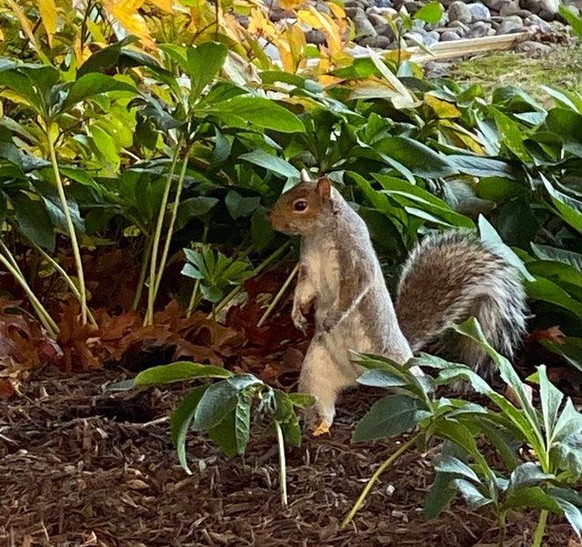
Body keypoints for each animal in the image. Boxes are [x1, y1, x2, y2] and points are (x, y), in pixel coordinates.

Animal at [270, 173, 528, 434]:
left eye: (300, 205)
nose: (271, 220)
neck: (320, 235)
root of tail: (357, 375)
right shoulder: (309, 267)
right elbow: (305, 289)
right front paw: (297, 315)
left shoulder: (355, 260)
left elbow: (353, 291)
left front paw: (332, 318)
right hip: (317, 367)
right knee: (318, 397)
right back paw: (318, 423)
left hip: (398, 367)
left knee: (422, 387)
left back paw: (425, 417)